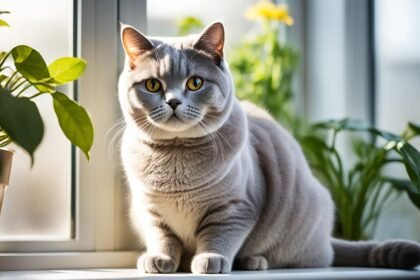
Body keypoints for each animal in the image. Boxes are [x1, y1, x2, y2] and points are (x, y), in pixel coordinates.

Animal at [117, 21, 420, 274]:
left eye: (195, 83)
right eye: (152, 85)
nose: (173, 101)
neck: (175, 159)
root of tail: (328, 240)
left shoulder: (235, 208)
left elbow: (219, 237)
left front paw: (210, 260)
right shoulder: (151, 212)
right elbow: (163, 238)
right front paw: (160, 260)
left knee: (301, 258)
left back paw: (253, 261)